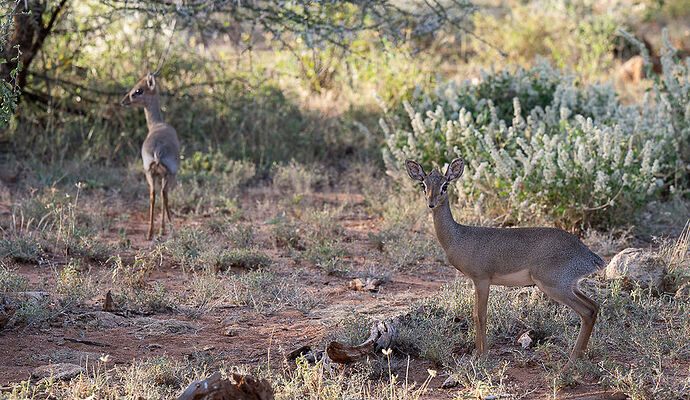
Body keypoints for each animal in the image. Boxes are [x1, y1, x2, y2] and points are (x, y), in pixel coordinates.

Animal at [121, 72, 180, 239]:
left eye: (138, 90)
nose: (124, 101)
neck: (157, 124)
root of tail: (157, 150)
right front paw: (163, 228)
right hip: (168, 174)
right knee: (163, 194)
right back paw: (169, 229)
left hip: (150, 172)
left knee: (153, 194)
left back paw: (150, 232)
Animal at [404, 159, 600, 362]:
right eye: (423, 184)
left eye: (445, 185)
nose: (431, 204)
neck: (458, 237)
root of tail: (590, 256)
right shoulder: (476, 281)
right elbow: (476, 314)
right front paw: (478, 353)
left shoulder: (482, 280)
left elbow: (480, 315)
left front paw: (482, 355)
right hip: (570, 286)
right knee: (594, 306)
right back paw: (579, 356)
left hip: (553, 286)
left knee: (587, 311)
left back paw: (572, 359)